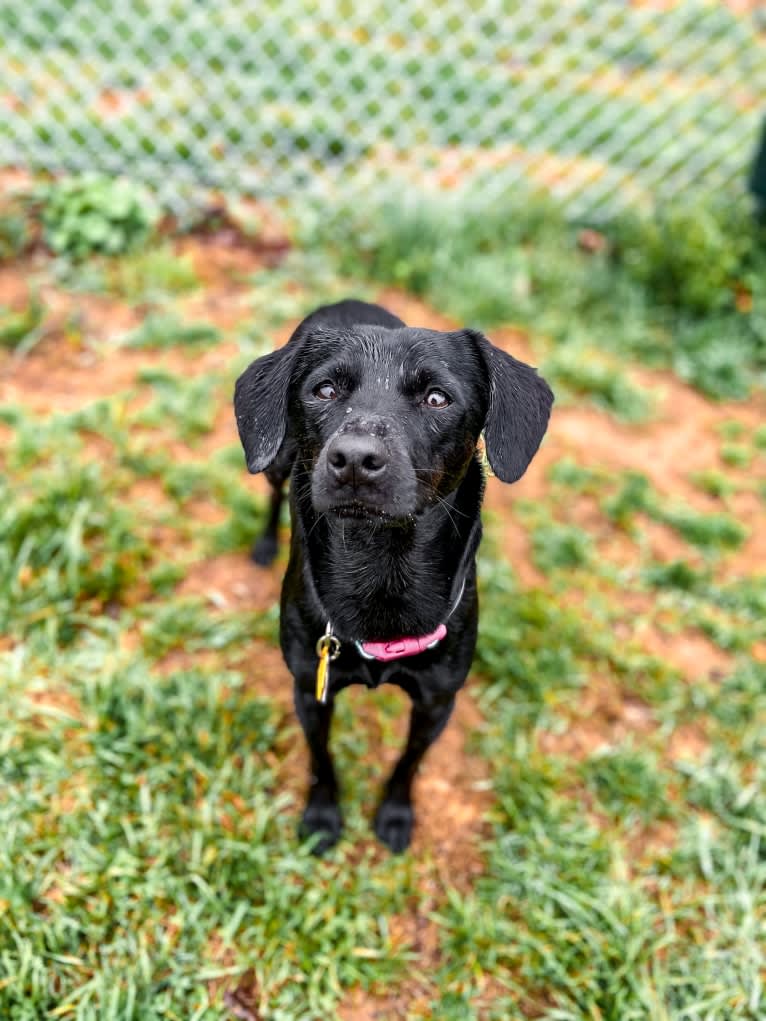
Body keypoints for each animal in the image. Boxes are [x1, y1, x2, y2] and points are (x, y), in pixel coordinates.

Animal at [233, 298, 551, 853]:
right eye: (324, 390)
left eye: (437, 398)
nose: (356, 459)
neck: (382, 567)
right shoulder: (311, 689)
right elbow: (321, 760)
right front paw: (322, 817)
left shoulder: (436, 702)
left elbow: (408, 763)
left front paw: (396, 815)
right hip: (273, 461)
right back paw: (266, 544)